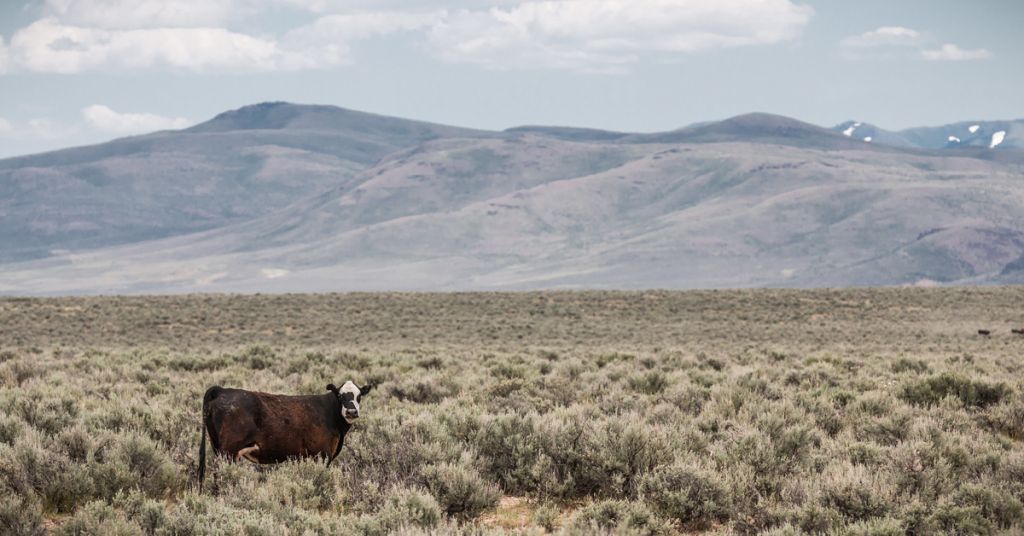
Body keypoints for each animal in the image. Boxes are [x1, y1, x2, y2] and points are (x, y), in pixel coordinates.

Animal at [197, 379, 374, 487]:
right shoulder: (322, 454)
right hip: (227, 451)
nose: (352, 412)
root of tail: (222, 390)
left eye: (359, 396)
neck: (329, 412)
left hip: (217, 446)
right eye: (340, 395)